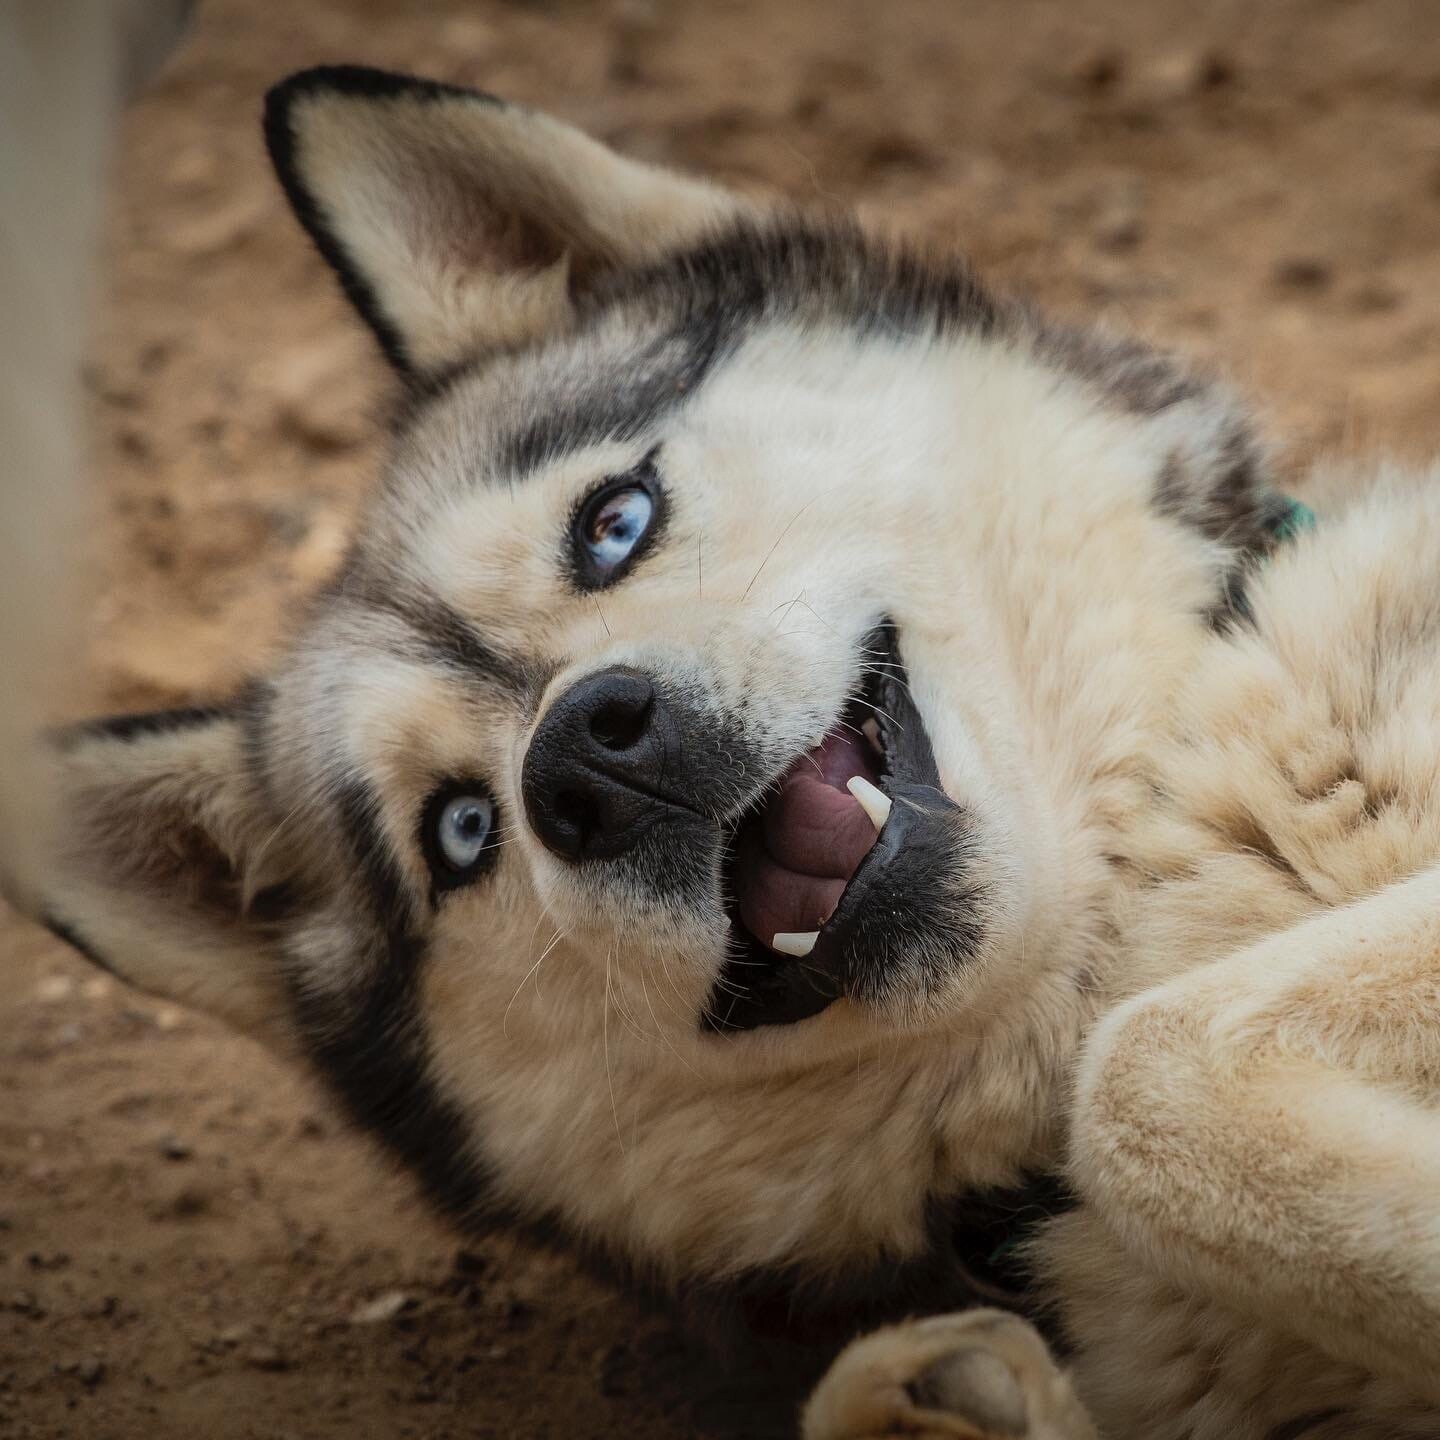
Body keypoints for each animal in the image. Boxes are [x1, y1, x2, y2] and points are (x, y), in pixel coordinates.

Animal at [11, 64, 1440, 1440]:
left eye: (614, 522)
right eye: (459, 832)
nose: (586, 759)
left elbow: (1140, 1073)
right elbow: (1132, 1087)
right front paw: (940, 1399)